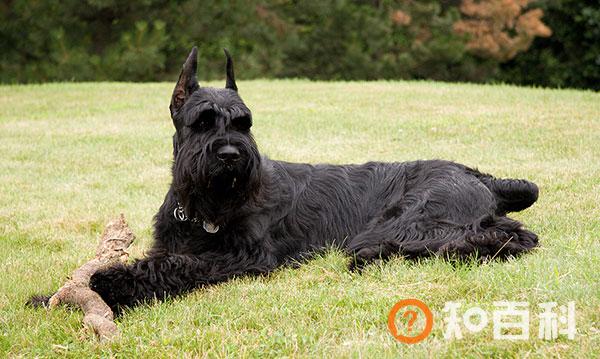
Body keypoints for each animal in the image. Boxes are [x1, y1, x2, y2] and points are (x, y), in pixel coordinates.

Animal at [52, 47, 540, 312]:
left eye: (244, 123)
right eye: (203, 122)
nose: (230, 155)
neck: (204, 208)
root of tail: (481, 177)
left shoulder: (245, 256)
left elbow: (177, 266)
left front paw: (111, 284)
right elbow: (165, 258)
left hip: (410, 221)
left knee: (502, 236)